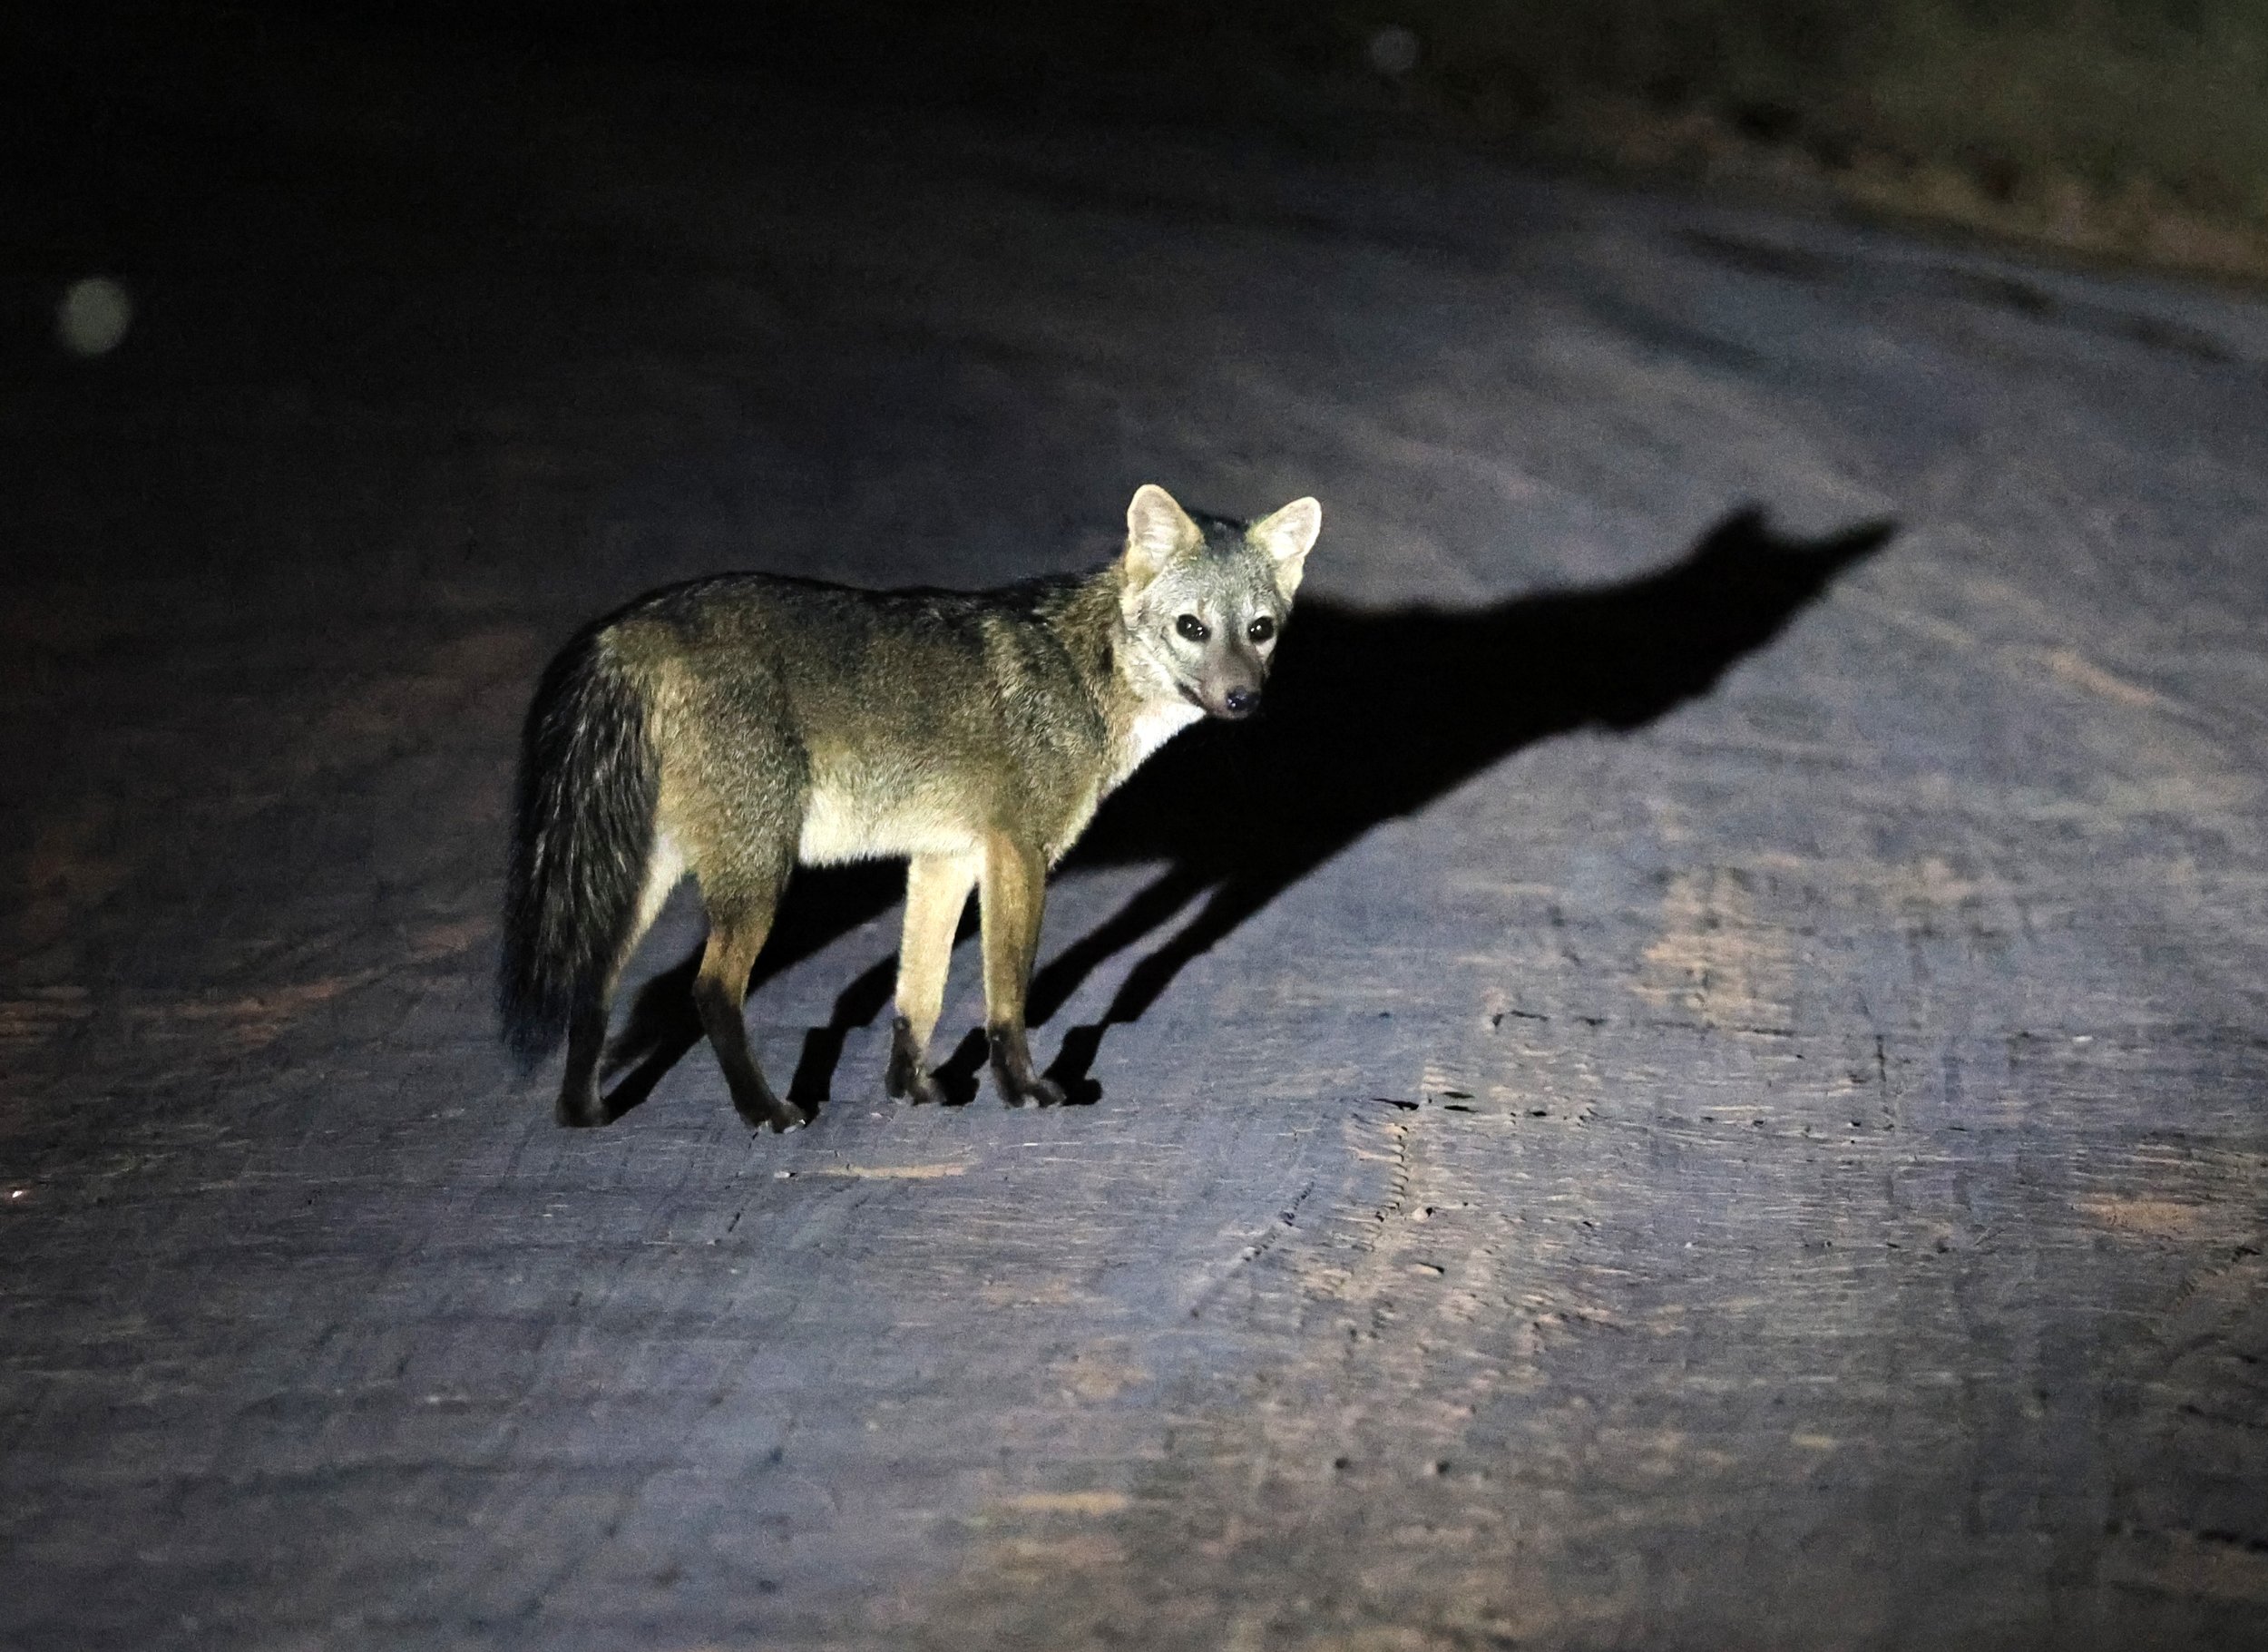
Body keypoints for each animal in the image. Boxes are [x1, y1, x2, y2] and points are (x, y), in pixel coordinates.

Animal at [498, 484, 1322, 1130]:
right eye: (1192, 628)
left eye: (1259, 630)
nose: (1242, 700)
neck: (1084, 671)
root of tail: (629, 628)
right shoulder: (1018, 852)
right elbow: (1007, 993)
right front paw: (1023, 1090)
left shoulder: (944, 857)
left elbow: (916, 995)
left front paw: (912, 1089)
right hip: (757, 877)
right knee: (707, 990)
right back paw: (766, 1111)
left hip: (652, 875)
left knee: (594, 987)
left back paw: (582, 1111)